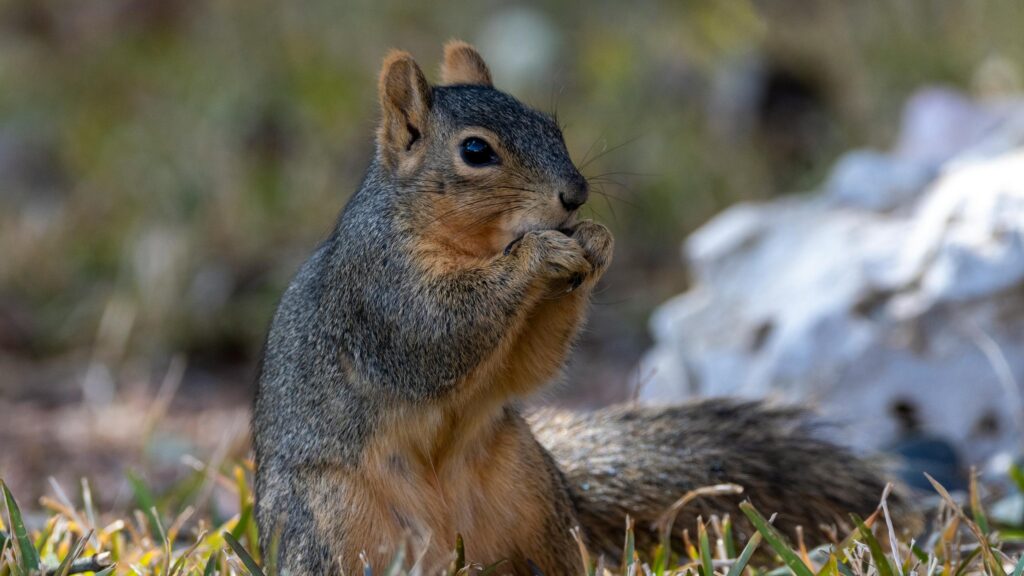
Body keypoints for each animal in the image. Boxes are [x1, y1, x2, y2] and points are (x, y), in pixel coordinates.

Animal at [253, 41, 910, 576]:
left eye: (551, 125)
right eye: (475, 150)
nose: (576, 195)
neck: (477, 244)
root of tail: (452, 547)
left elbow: (527, 364)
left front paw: (594, 241)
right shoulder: (381, 293)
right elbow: (435, 335)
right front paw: (540, 252)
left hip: (532, 497)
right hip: (335, 523)